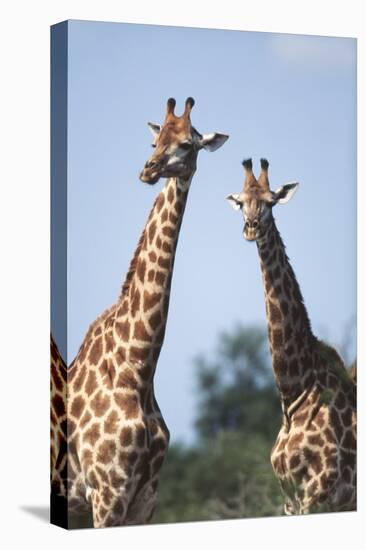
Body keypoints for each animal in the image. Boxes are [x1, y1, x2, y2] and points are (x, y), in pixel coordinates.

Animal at [50, 97, 229, 528]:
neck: (138, 369)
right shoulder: (106, 493)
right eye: (155, 139)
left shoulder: (144, 500)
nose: (147, 170)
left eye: (186, 144)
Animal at [227, 158, 356, 516]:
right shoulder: (289, 499)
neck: (294, 390)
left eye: (271, 202)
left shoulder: (321, 492)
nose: (251, 228)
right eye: (241, 202)